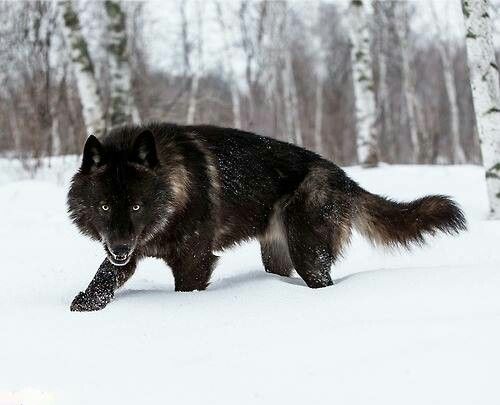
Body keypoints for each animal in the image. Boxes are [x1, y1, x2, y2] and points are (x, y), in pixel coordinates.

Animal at [66, 122, 464, 310]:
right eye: (104, 207)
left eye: (137, 206)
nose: (120, 247)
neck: (175, 188)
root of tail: (344, 177)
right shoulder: (127, 252)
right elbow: (104, 277)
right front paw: (86, 304)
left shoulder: (194, 261)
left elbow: (185, 290)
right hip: (276, 256)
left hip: (308, 255)